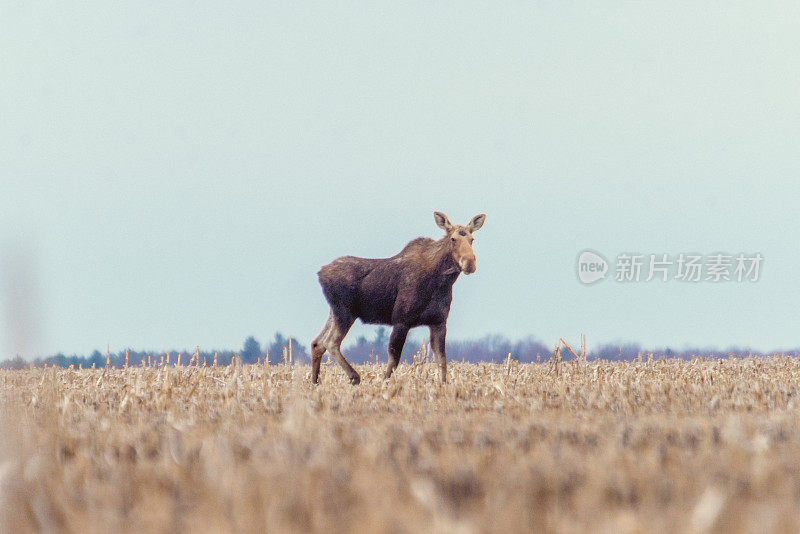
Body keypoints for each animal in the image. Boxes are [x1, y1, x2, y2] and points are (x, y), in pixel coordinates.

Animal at [310, 213, 488, 386]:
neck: (442, 281)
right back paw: (354, 377)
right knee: (330, 342)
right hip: (345, 313)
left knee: (317, 343)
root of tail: (320, 274)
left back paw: (315, 382)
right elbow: (394, 360)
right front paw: (384, 384)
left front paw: (443, 386)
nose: (469, 263)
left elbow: (442, 360)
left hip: (335, 312)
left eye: (472, 239)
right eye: (453, 239)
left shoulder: (439, 322)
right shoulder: (401, 320)